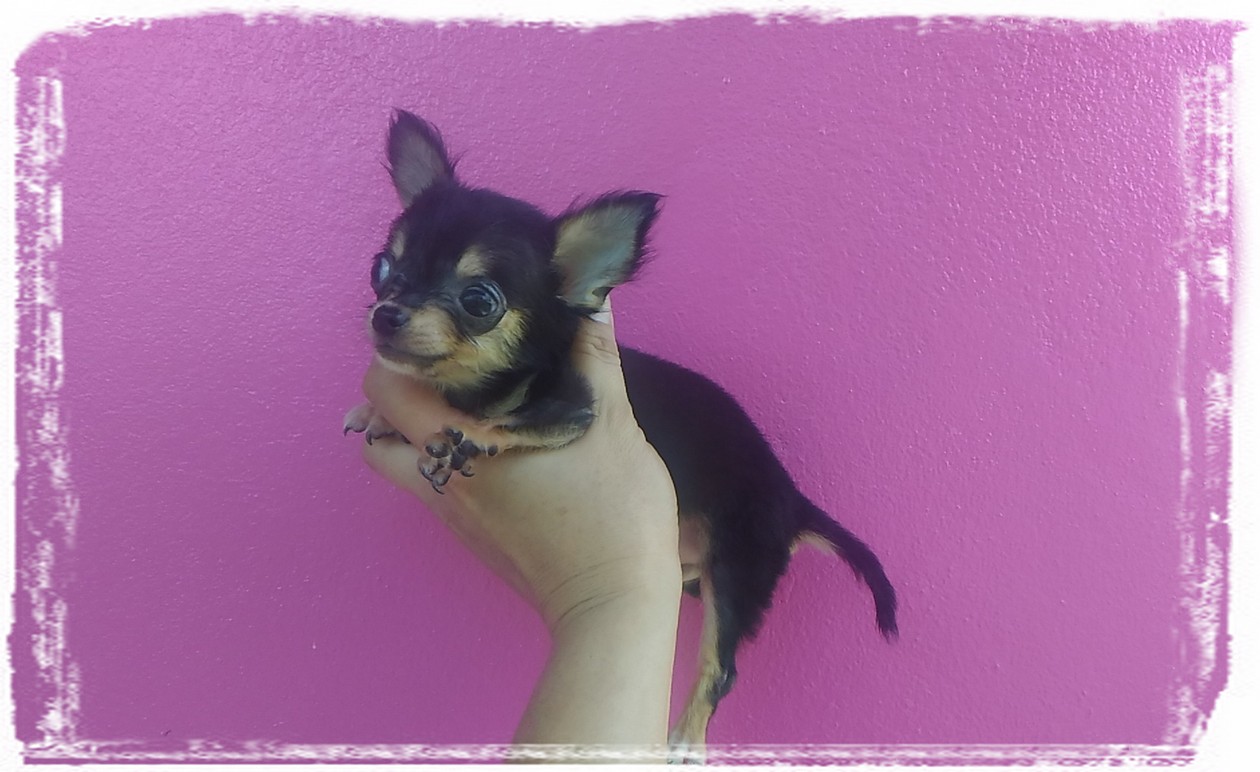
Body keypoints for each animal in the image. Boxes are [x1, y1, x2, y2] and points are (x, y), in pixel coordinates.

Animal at [345, 111, 897, 757]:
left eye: (478, 300)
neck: (476, 387)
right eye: (382, 268)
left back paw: (685, 739)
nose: (386, 313)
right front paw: (379, 414)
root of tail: (793, 500)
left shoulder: (575, 410)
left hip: (739, 567)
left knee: (722, 666)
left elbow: (506, 421)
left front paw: (467, 436)